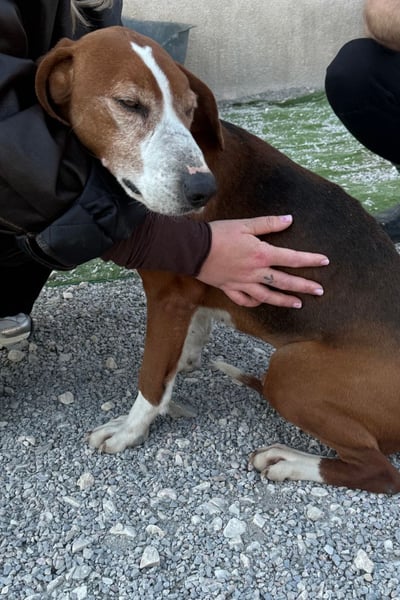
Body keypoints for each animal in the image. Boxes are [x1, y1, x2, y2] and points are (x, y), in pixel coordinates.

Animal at [37, 27, 400, 494]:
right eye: (130, 104)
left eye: (190, 109)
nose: (202, 192)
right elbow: (186, 344)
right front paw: (184, 364)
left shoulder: (168, 297)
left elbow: (151, 378)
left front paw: (130, 430)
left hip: (289, 369)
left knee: (380, 472)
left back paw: (289, 460)